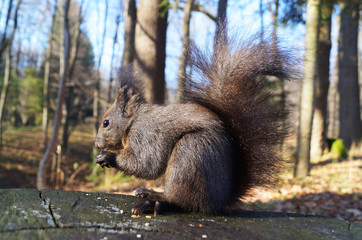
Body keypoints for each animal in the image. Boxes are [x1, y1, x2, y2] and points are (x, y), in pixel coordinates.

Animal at [94, 27, 296, 215]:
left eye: (106, 123)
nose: (96, 144)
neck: (133, 121)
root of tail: (220, 200)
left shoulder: (146, 134)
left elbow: (146, 163)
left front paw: (108, 157)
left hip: (190, 153)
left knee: (184, 201)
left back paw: (155, 199)